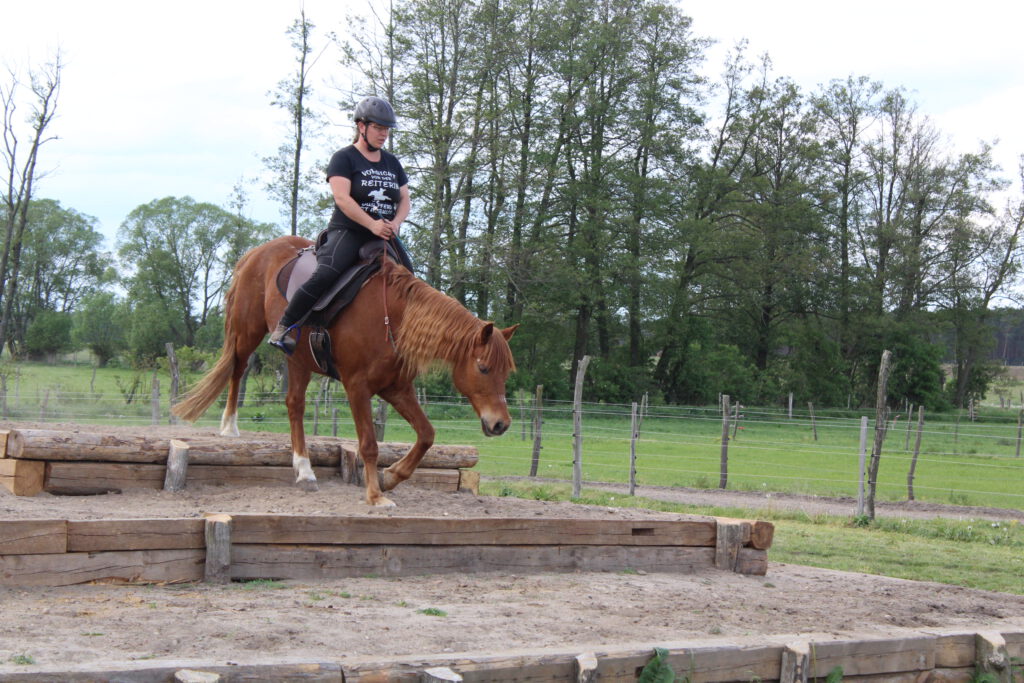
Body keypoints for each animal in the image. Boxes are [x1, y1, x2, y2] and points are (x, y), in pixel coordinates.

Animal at [173, 236, 520, 507]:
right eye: (483, 368)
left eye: (506, 373)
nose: (500, 424)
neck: (394, 318)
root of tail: (259, 251)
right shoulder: (357, 387)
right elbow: (369, 444)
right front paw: (375, 495)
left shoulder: (397, 389)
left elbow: (427, 434)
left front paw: (391, 477)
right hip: (247, 332)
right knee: (238, 369)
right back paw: (230, 426)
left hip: (298, 359)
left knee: (294, 405)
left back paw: (304, 469)